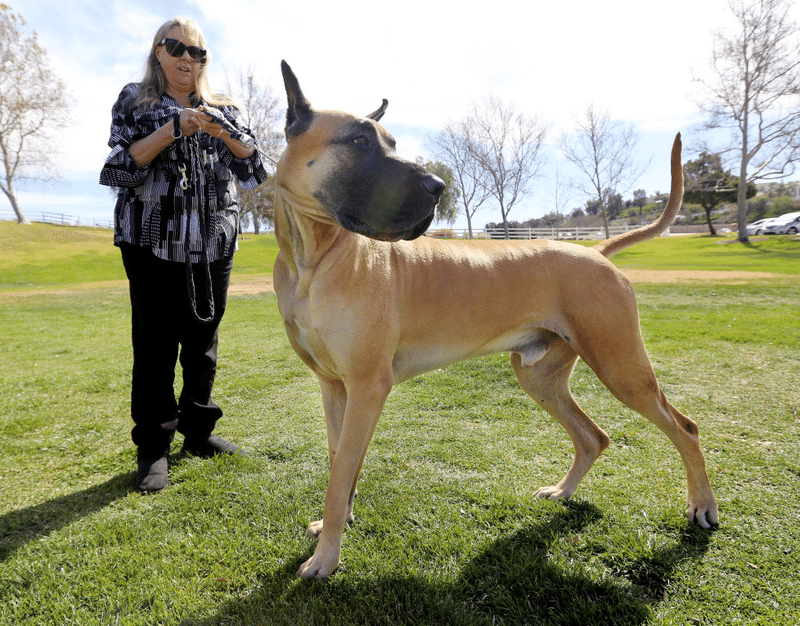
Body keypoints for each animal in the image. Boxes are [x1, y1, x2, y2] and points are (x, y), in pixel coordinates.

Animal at [274, 61, 720, 576]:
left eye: (392, 142)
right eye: (360, 140)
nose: (438, 187)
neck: (313, 259)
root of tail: (594, 249)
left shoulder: (367, 386)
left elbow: (341, 472)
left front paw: (325, 557)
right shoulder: (334, 386)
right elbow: (340, 464)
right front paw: (337, 526)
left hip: (621, 367)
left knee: (684, 428)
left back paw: (702, 505)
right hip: (540, 376)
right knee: (594, 437)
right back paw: (563, 491)